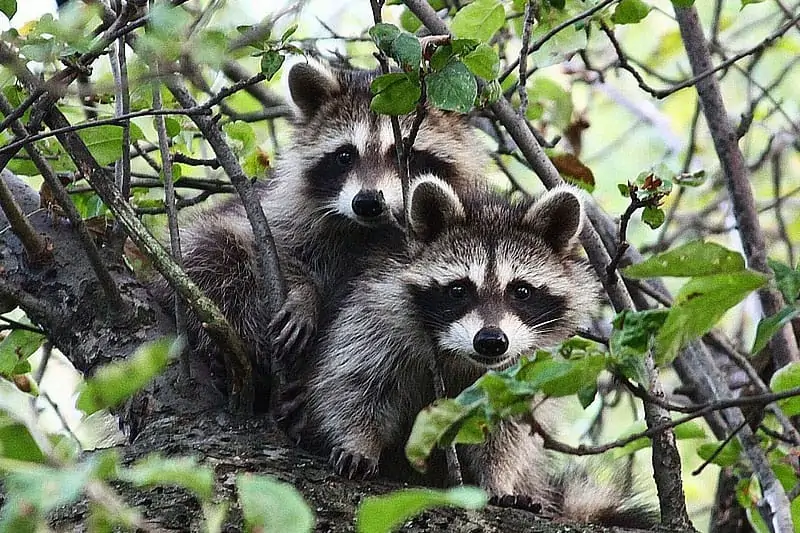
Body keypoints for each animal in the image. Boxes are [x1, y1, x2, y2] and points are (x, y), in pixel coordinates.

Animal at [300, 176, 656, 528]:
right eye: (459, 289)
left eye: (521, 291)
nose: (491, 341)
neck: (461, 357)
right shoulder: (377, 317)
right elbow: (355, 383)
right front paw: (358, 441)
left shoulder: (525, 369)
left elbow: (507, 430)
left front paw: (498, 478)